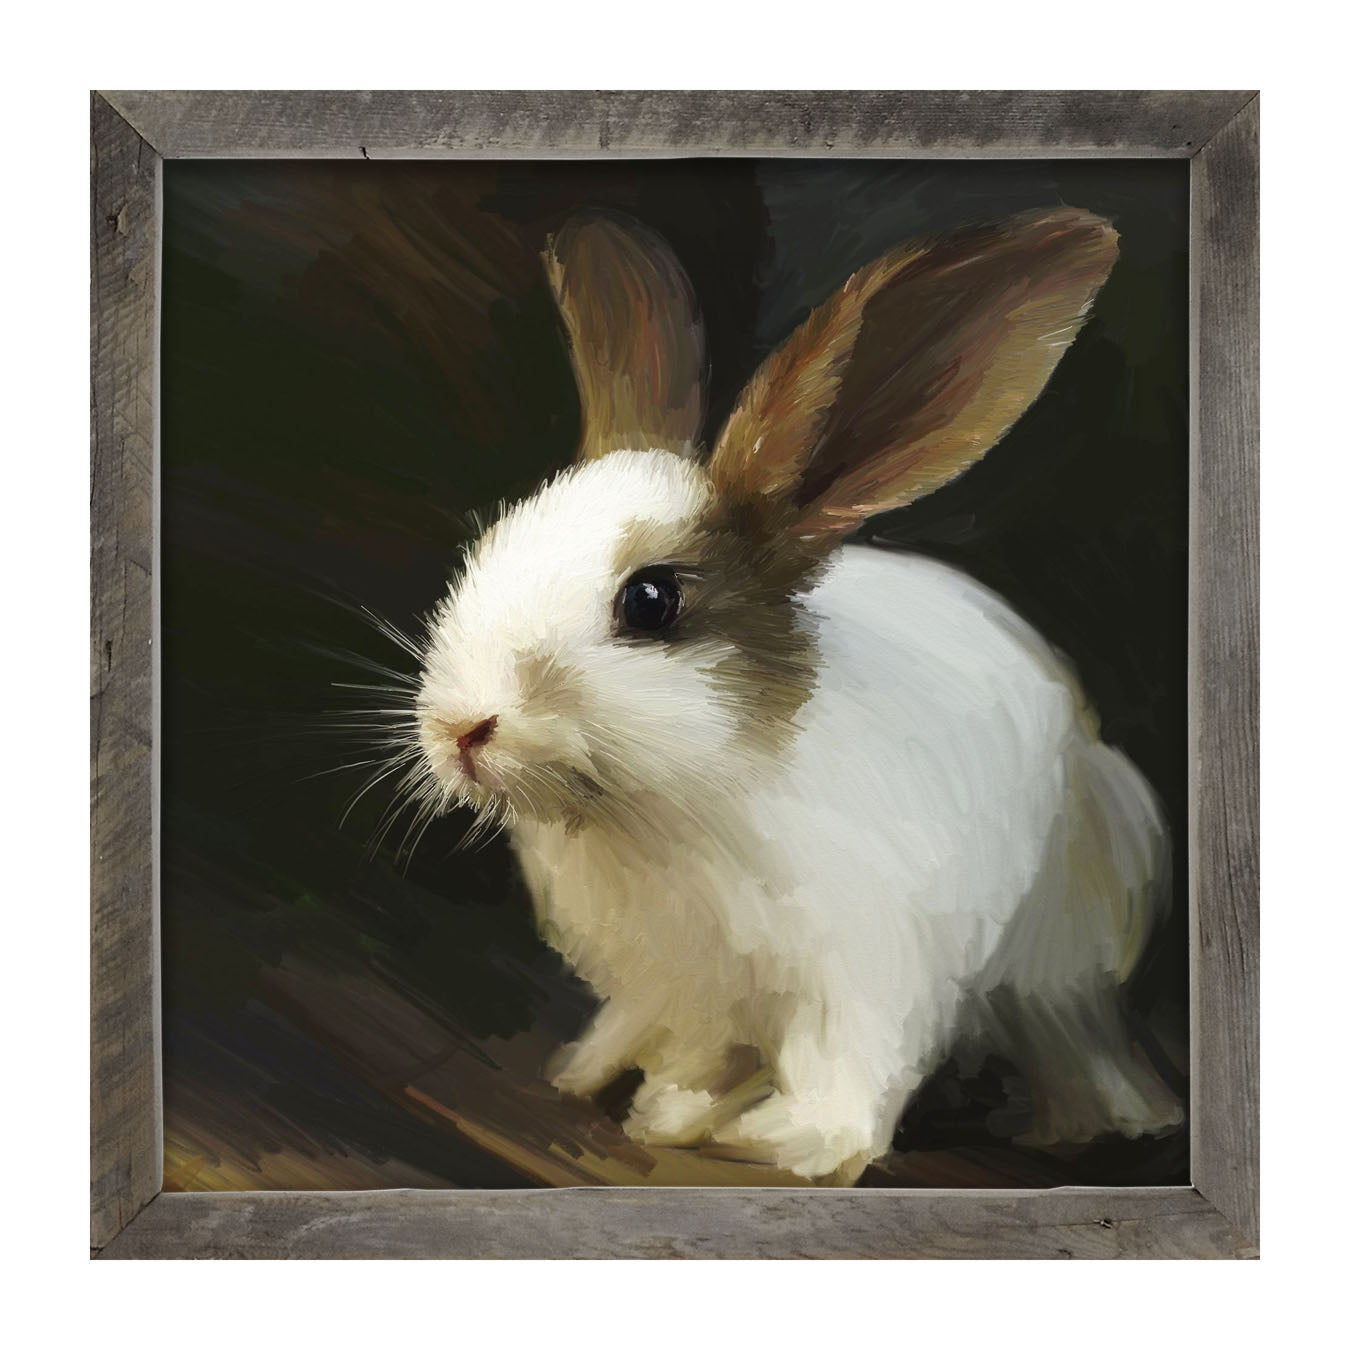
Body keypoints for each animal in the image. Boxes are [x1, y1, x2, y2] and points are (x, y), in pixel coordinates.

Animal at [412, 207, 1184, 1183]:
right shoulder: (677, 985)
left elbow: (848, 1073)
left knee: (1072, 1036)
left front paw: (785, 1142)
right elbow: (690, 1050)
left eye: (651, 602)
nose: (460, 729)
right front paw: (660, 1108)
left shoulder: (865, 972)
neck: (666, 808)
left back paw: (1099, 1125)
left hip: (1066, 953)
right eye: (491, 543)